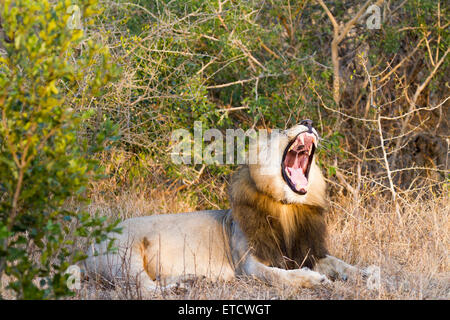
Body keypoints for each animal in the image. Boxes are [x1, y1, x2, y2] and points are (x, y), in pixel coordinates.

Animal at [83, 120, 370, 292]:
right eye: (282, 129)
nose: (309, 123)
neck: (288, 206)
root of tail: (85, 247)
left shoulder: (307, 251)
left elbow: (339, 263)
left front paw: (366, 273)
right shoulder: (249, 265)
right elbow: (279, 275)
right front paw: (312, 278)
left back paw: (190, 279)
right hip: (126, 257)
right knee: (145, 289)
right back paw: (180, 288)